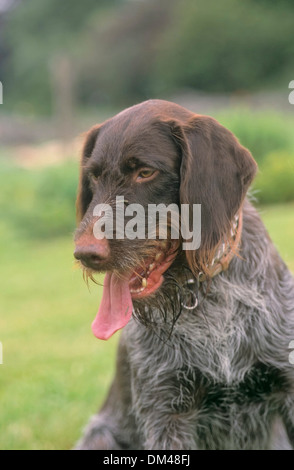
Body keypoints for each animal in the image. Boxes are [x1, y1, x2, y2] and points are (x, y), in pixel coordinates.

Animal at [74, 101, 294, 450]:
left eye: (145, 172)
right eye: (93, 177)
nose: (84, 254)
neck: (207, 294)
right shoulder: (166, 413)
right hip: (101, 438)